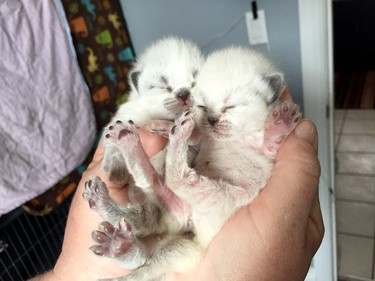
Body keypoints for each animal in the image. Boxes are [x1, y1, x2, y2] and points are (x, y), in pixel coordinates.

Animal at [83, 44, 302, 278]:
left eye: (231, 106)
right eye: (203, 106)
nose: (212, 120)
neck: (233, 138)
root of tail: (187, 221)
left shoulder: (265, 152)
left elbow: (269, 142)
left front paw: (281, 121)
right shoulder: (206, 138)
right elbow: (198, 136)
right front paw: (168, 125)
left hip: (221, 202)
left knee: (173, 183)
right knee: (154, 189)